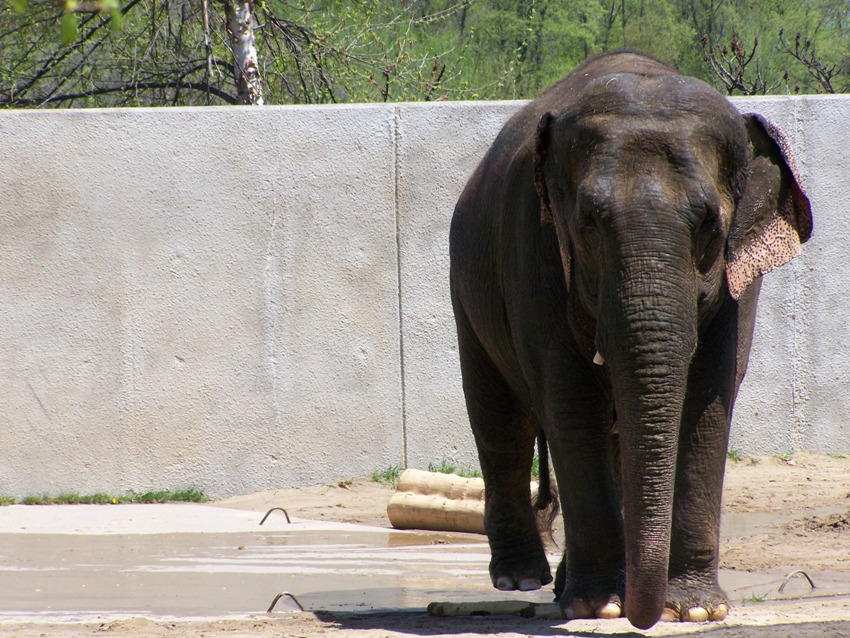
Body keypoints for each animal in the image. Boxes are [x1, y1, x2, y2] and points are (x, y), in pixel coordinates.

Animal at [448, 50, 812, 632]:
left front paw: (694, 609)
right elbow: (571, 402)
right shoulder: (536, 250)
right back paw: (524, 580)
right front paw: (600, 606)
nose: (648, 617)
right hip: (468, 290)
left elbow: (707, 403)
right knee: (502, 424)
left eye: (708, 223)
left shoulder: (739, 283)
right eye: (589, 222)